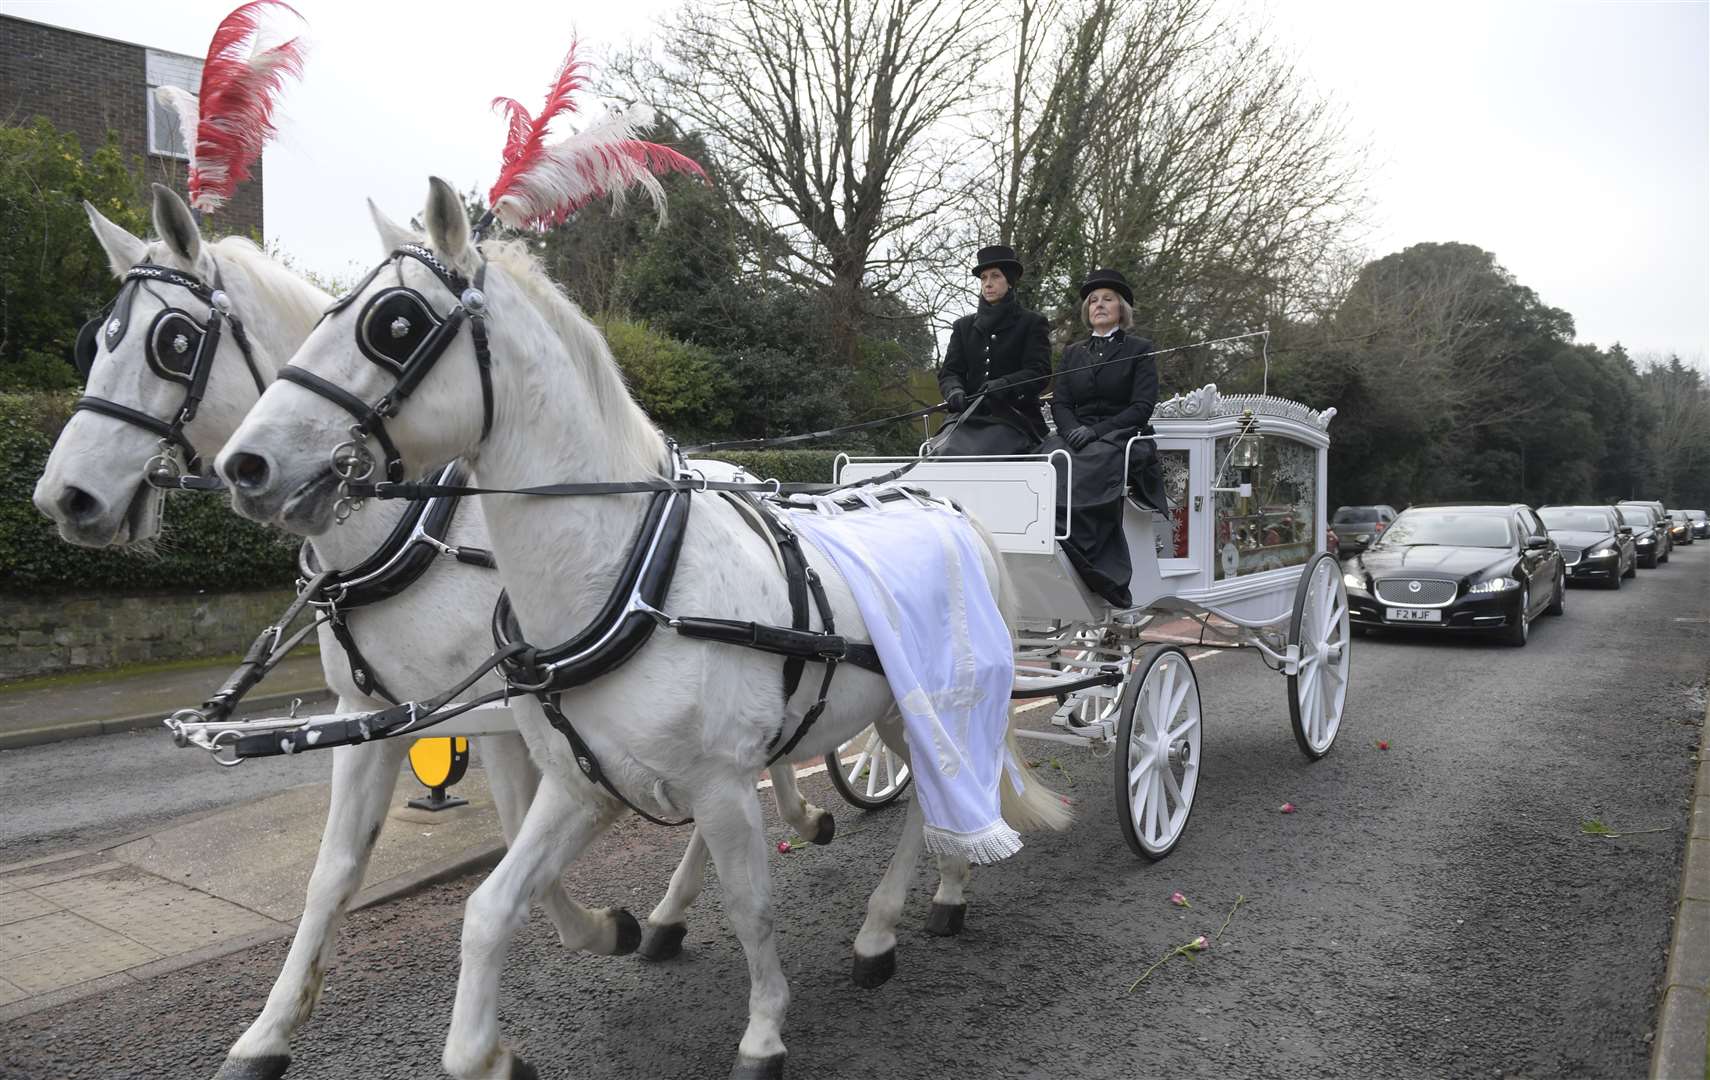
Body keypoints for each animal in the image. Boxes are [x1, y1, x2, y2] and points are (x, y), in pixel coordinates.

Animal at [33, 185, 841, 1080]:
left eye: (171, 342)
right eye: (93, 340)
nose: (63, 498)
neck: (407, 526)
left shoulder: (496, 715)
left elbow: (518, 838)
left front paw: (592, 934)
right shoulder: (371, 717)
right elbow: (335, 873)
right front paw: (268, 1033)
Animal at [217, 176, 1067, 1080]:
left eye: (396, 323)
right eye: (328, 313)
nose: (244, 465)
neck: (630, 581)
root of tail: (951, 506)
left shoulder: (721, 784)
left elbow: (752, 905)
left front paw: (763, 1029)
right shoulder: (581, 783)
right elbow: (487, 909)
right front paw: (491, 1050)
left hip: (921, 709)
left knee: (937, 799)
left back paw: (891, 921)